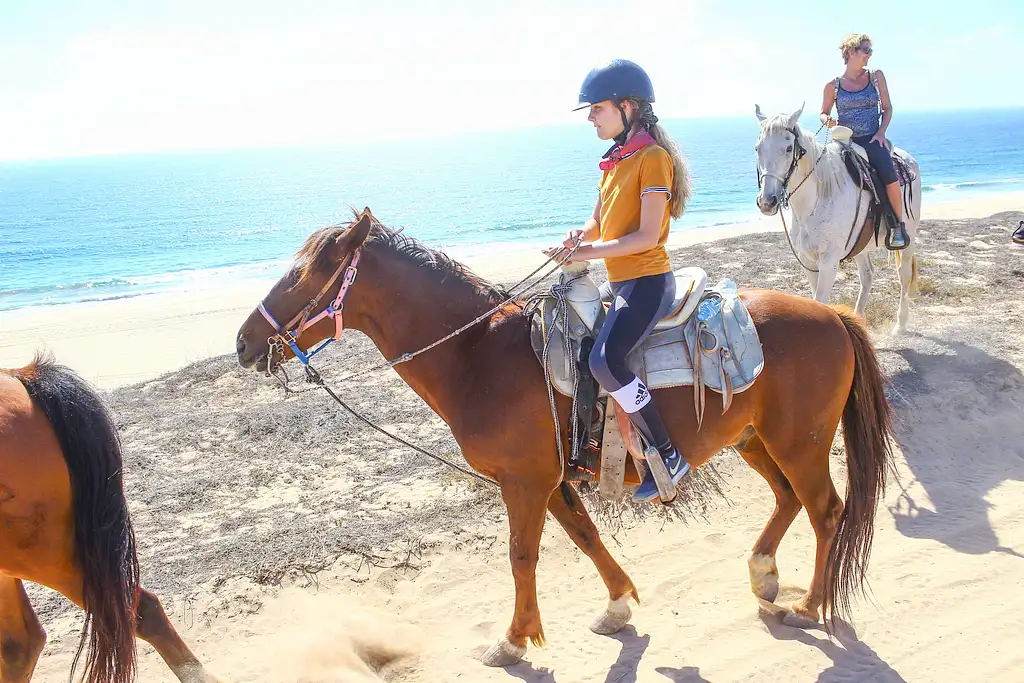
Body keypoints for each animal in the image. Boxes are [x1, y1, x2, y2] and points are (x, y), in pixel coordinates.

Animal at [235, 209, 892, 667]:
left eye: (304, 273)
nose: (243, 343)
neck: (479, 355)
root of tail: (834, 316)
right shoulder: (548, 480)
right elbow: (585, 535)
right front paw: (617, 605)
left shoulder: (524, 483)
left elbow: (522, 556)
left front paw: (513, 640)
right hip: (755, 440)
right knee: (786, 499)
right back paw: (764, 575)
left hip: (800, 444)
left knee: (825, 511)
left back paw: (809, 605)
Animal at [753, 103, 921, 333]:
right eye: (757, 148)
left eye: (788, 149)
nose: (767, 202)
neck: (816, 200)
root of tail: (908, 160)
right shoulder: (808, 262)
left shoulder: (829, 261)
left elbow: (820, 300)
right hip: (860, 244)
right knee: (867, 276)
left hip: (908, 238)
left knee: (903, 276)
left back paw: (900, 324)